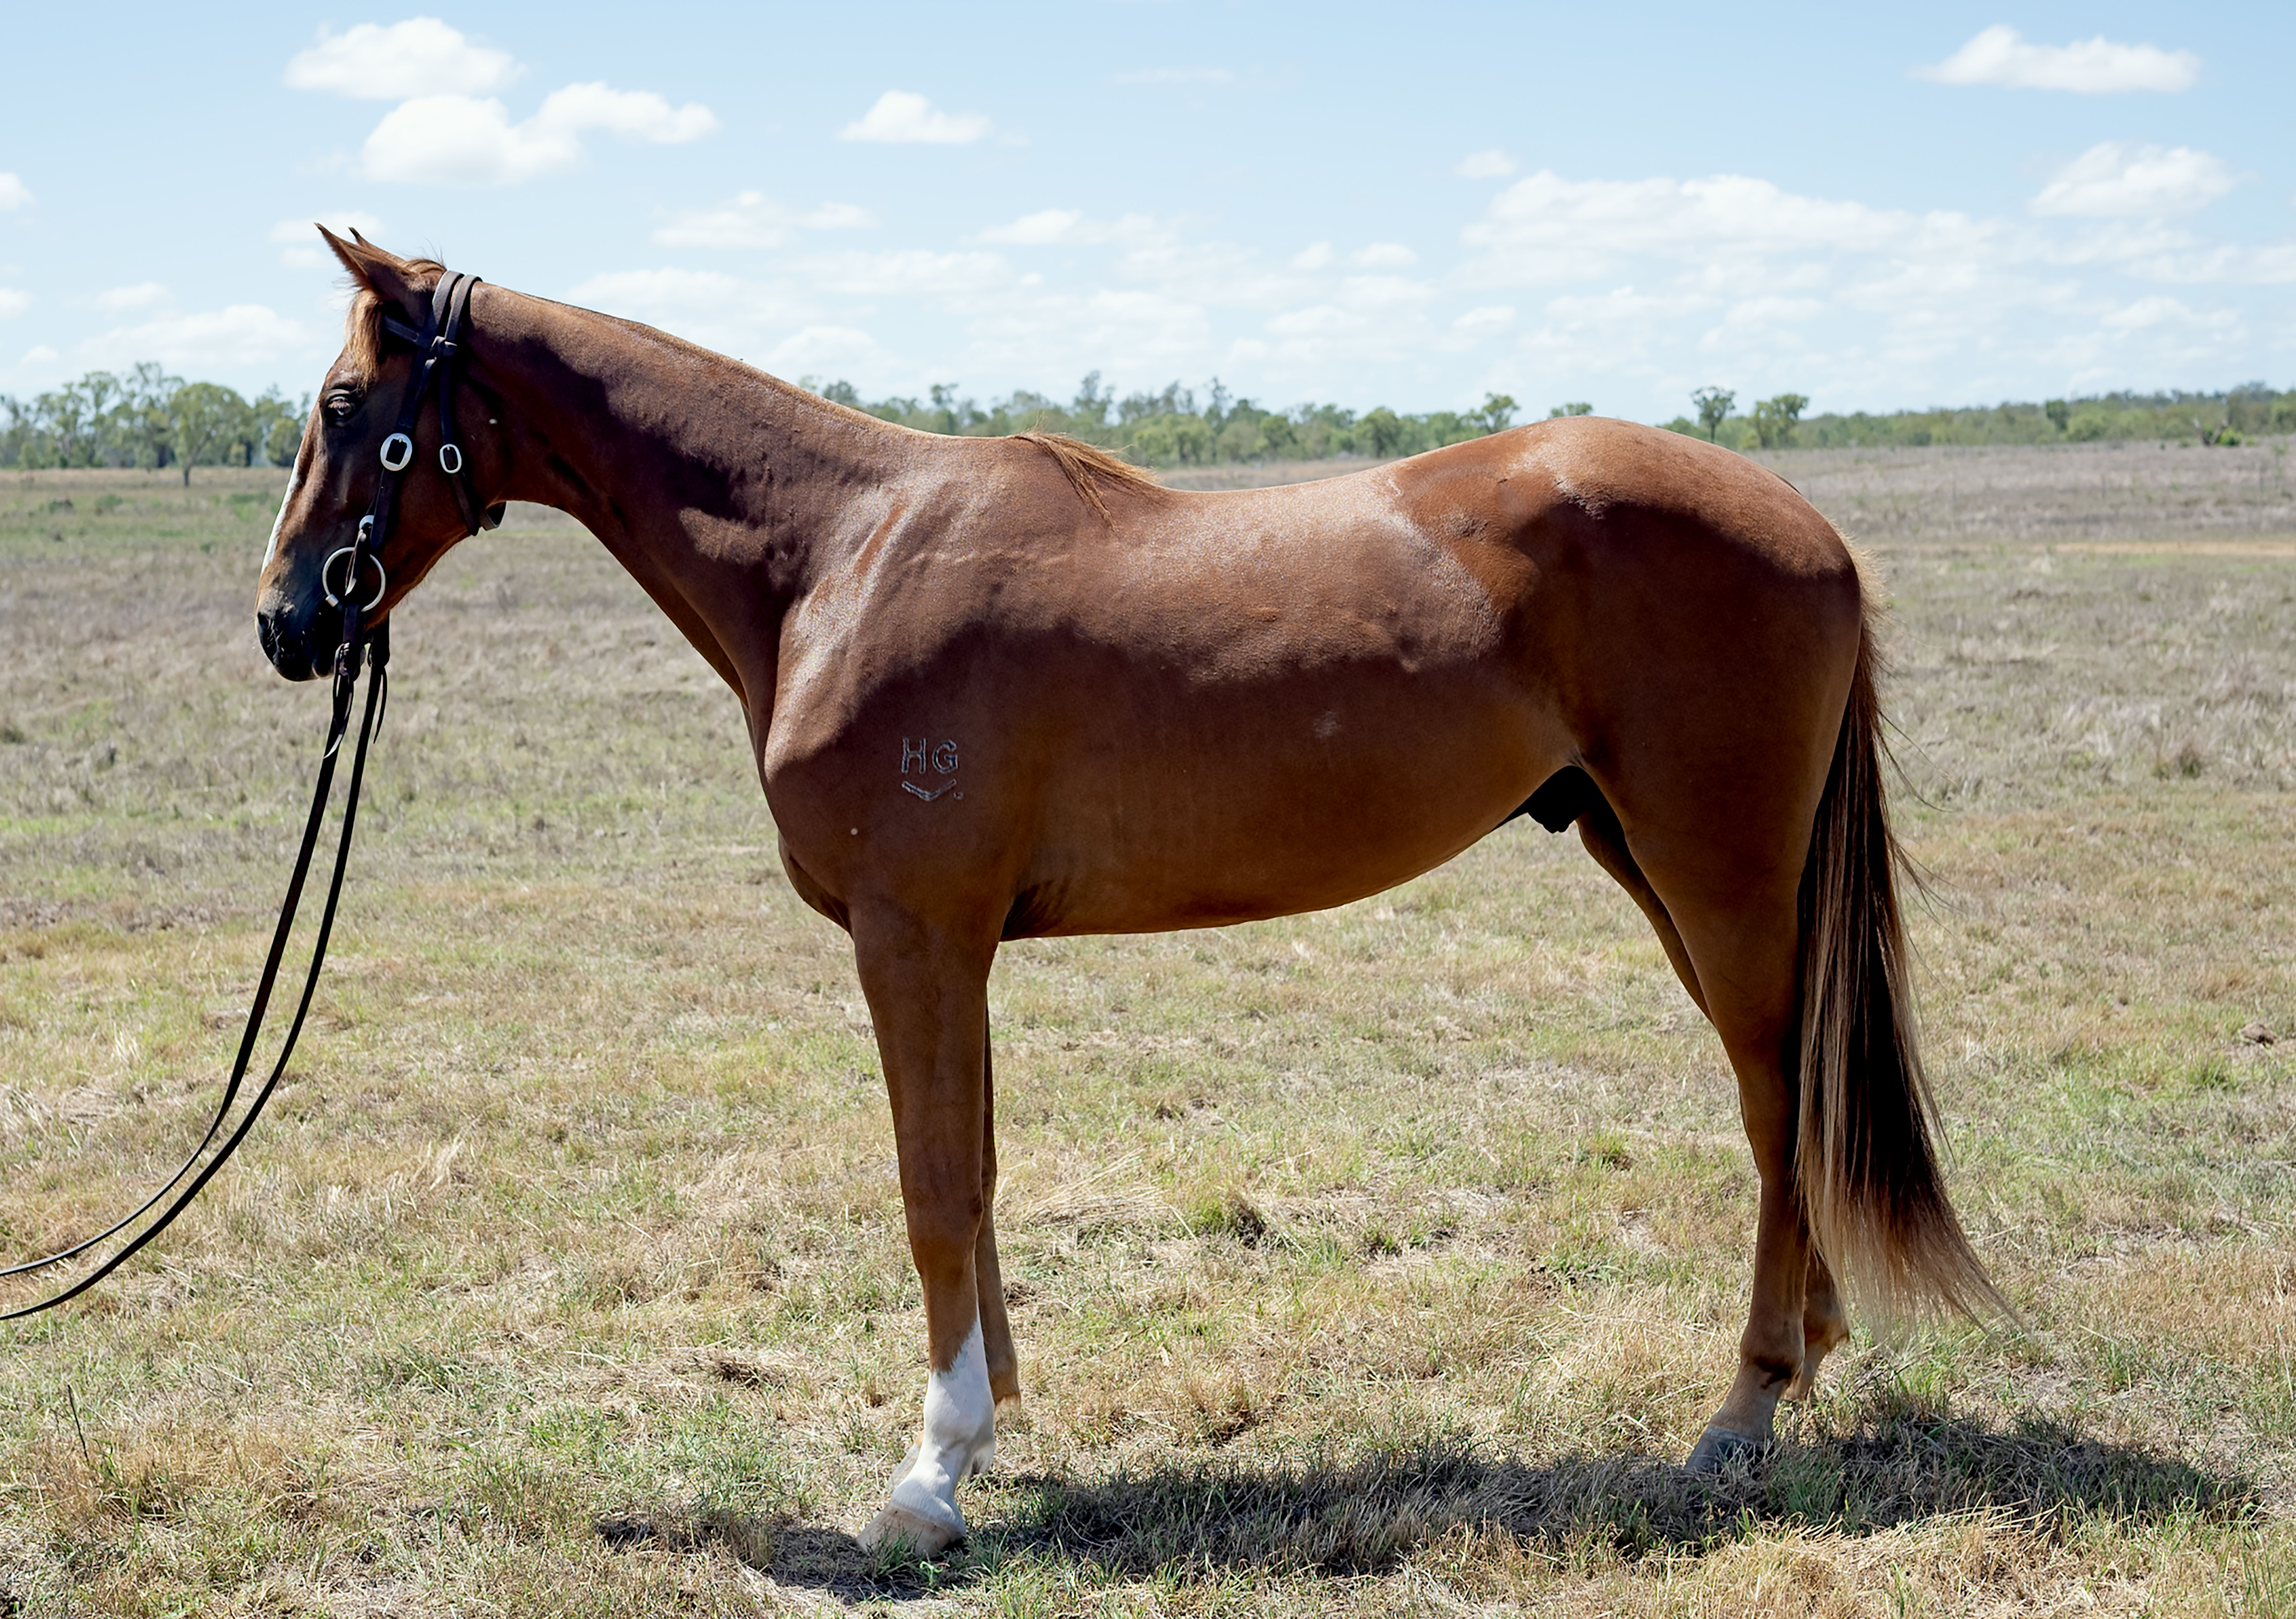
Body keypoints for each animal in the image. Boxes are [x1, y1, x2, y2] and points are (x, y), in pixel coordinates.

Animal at [256, 230, 1997, 1555]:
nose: (286, 619)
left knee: (1775, 1101)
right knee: (1786, 1100)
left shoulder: (912, 938)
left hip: (1716, 873)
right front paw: (992, 1428)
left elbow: (930, 1192)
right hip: (1649, 858)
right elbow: (977, 1177)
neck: (838, 557)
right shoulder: (959, 948)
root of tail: (1812, 526)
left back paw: (1741, 1409)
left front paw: (927, 1475)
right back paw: (1798, 1370)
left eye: (345, 402)